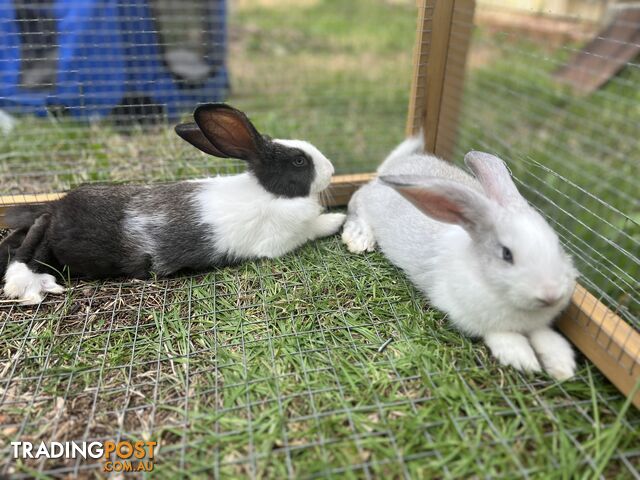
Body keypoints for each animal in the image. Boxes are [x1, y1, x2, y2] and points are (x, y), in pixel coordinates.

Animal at [1, 102, 344, 304]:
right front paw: (336, 220)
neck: (270, 192)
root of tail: (57, 209)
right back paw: (33, 286)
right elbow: (314, 228)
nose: (331, 170)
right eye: (299, 161)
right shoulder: (282, 240)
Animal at [344, 134, 580, 378]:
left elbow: (545, 336)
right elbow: (502, 336)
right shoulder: (470, 316)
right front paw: (522, 360)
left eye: (557, 245)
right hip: (367, 203)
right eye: (506, 254)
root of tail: (391, 167)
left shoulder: (538, 324)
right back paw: (360, 238)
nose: (551, 295)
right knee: (356, 201)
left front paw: (562, 366)